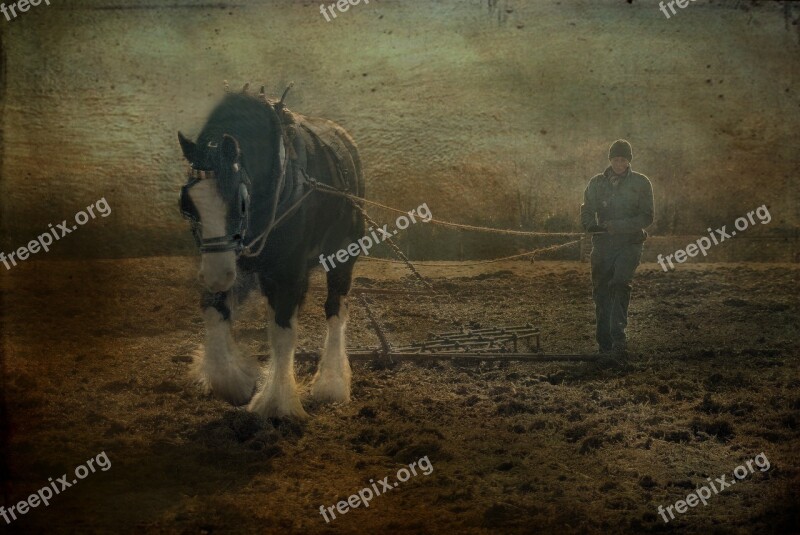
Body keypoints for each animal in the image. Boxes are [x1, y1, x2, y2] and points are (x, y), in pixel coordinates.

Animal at [178, 90, 366, 420]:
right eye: (187, 206)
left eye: (242, 201)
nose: (217, 276)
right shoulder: (236, 264)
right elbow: (214, 311)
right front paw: (234, 382)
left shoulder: (290, 274)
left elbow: (281, 332)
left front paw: (276, 403)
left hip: (342, 256)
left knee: (335, 309)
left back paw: (331, 383)